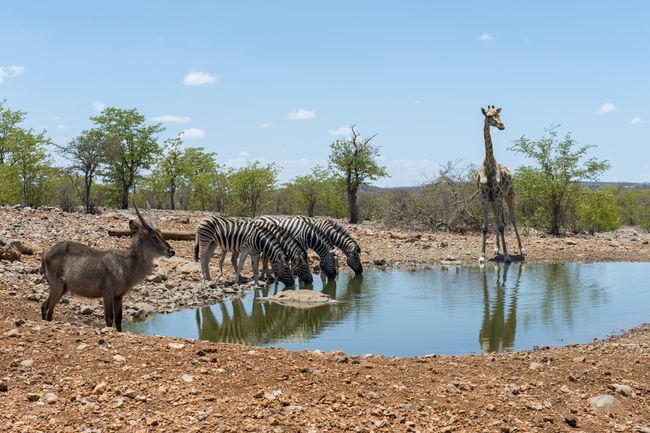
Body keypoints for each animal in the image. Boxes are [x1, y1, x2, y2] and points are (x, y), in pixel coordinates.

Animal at [40, 202, 175, 330]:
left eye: (161, 233)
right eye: (153, 236)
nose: (172, 251)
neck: (125, 265)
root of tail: (46, 253)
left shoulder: (119, 296)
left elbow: (119, 320)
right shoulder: (107, 292)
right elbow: (109, 318)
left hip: (63, 288)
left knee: (45, 306)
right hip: (56, 285)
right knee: (48, 308)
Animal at [476, 107, 528, 264]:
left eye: (499, 114)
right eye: (489, 116)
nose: (501, 125)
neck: (489, 166)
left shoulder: (499, 195)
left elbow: (501, 226)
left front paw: (506, 256)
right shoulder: (484, 197)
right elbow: (485, 226)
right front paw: (482, 256)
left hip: (510, 195)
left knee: (512, 219)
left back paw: (522, 249)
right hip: (494, 201)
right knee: (497, 218)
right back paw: (495, 249)